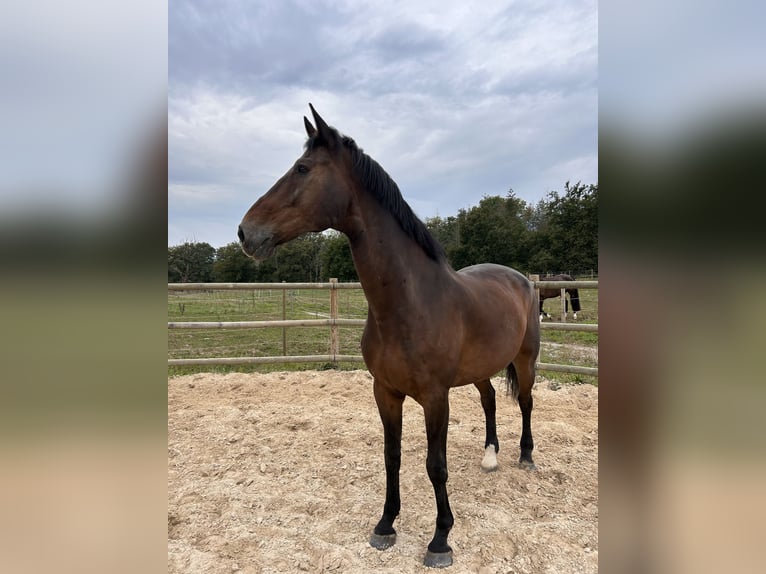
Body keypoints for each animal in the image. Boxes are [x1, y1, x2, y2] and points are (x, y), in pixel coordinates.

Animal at [237, 104, 544, 572]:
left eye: (303, 168)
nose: (245, 232)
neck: (409, 301)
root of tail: (523, 280)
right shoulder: (385, 391)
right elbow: (392, 456)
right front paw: (385, 525)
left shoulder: (436, 397)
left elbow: (435, 464)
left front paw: (441, 539)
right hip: (481, 368)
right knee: (491, 399)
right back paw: (490, 455)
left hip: (525, 359)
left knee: (525, 401)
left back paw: (525, 456)